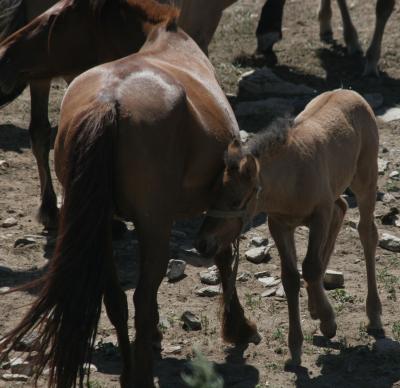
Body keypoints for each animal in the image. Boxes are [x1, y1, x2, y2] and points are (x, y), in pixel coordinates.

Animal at [0, 0, 260, 384]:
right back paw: (140, 374)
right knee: (140, 298)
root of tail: (108, 101)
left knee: (116, 300)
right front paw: (238, 326)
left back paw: (128, 371)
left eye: (54, 18)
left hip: (102, 229)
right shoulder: (220, 202)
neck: (165, 39)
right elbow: (225, 256)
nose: (4, 54)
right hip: (155, 226)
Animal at [195, 89, 382, 366]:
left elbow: (311, 267)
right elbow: (291, 276)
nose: (202, 243)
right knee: (340, 208)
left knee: (367, 232)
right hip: (336, 191)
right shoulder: (279, 224)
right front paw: (295, 346)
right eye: (212, 195)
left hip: (366, 179)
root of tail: (350, 91)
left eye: (235, 201)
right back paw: (315, 305)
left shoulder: (319, 214)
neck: (291, 177)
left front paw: (328, 321)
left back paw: (374, 315)